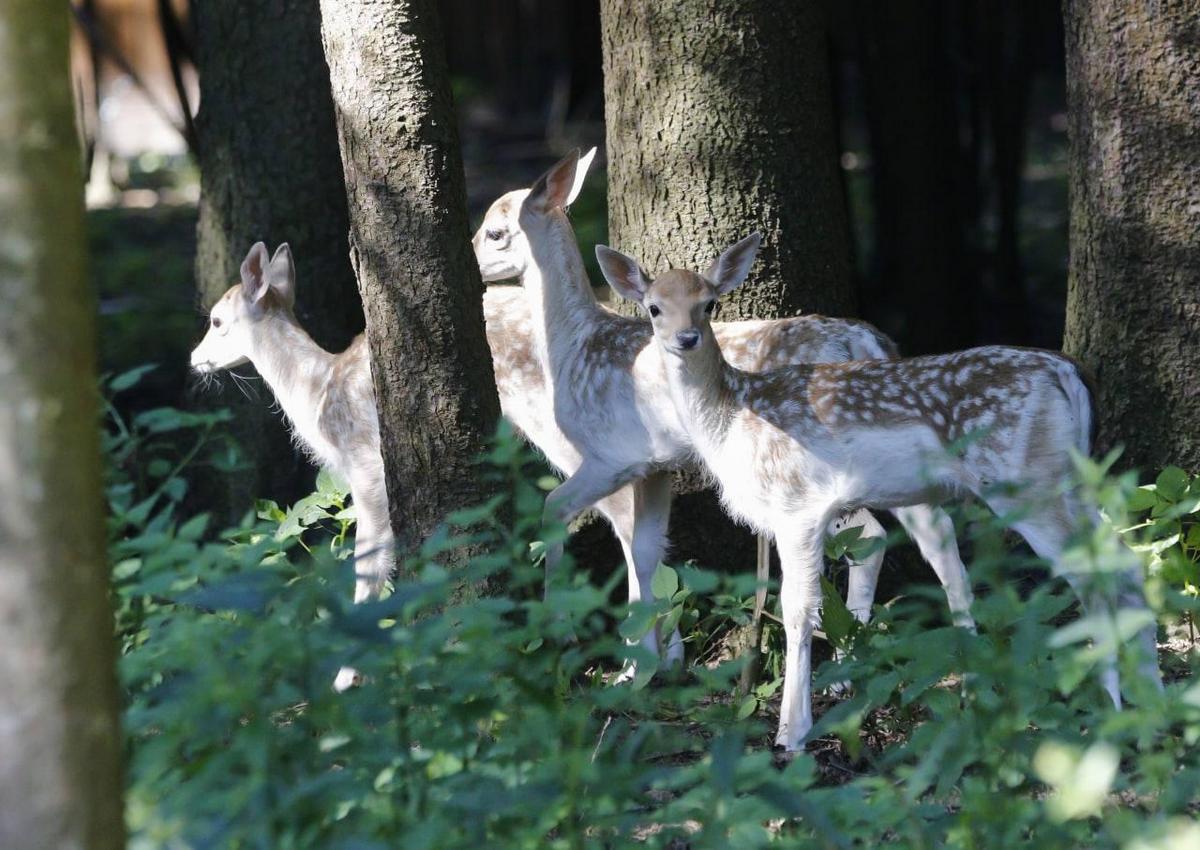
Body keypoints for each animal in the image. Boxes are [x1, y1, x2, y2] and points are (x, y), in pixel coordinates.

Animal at [597, 234, 1161, 749]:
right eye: (654, 307)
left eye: (709, 302)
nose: (687, 338)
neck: (731, 417)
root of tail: (1067, 370)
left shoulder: (798, 506)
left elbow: (798, 609)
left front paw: (792, 733)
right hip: (1071, 482)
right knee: (1126, 565)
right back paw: (1147, 701)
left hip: (1027, 484)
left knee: (1094, 577)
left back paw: (1110, 704)